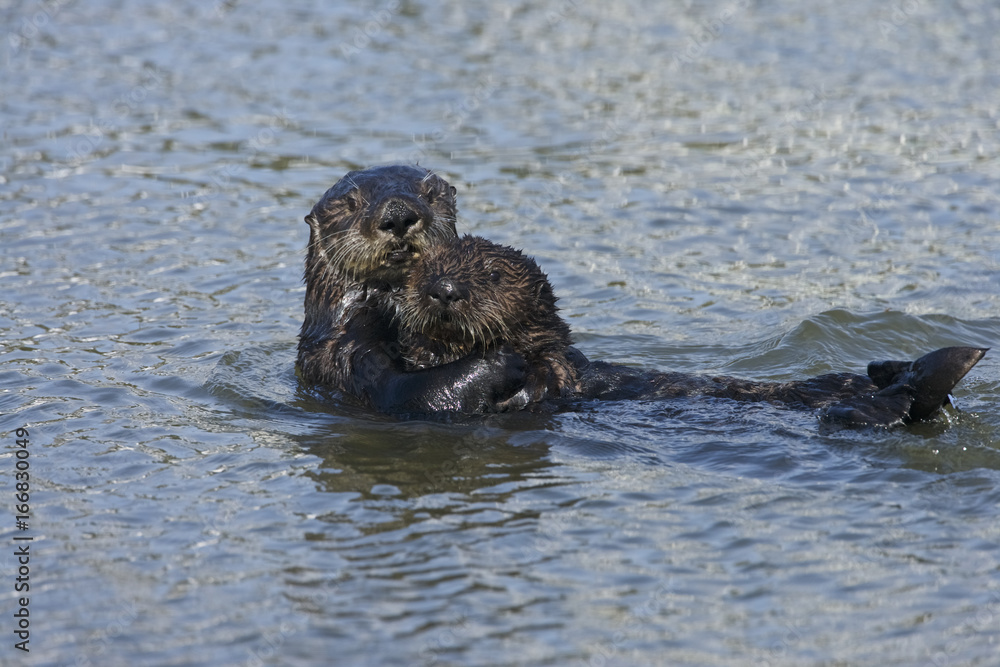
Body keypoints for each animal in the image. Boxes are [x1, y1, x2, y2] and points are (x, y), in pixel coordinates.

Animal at [297, 166, 526, 413]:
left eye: (430, 194)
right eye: (351, 202)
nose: (397, 214)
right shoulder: (348, 345)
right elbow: (401, 390)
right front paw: (500, 360)